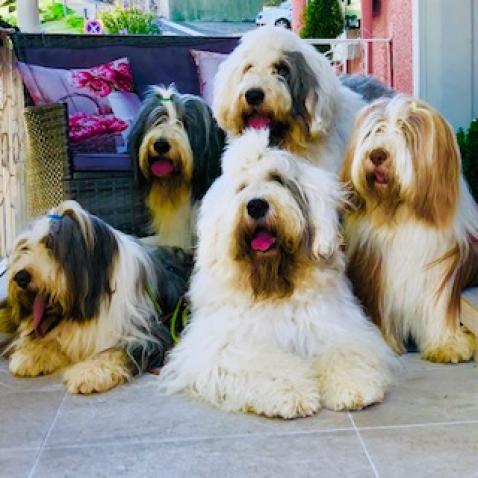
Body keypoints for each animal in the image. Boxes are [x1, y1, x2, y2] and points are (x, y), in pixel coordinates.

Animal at [2, 200, 191, 394]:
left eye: (51, 245)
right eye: (24, 247)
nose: (21, 277)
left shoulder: (148, 332)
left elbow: (118, 350)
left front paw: (89, 372)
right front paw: (32, 354)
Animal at [158, 130, 396, 418]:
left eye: (278, 179)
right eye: (242, 188)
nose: (256, 206)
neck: (273, 285)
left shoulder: (335, 327)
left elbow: (346, 351)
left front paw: (353, 388)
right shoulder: (226, 345)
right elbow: (263, 362)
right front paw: (292, 394)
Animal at [340, 95, 478, 362]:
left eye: (405, 131)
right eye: (375, 130)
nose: (378, 154)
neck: (401, 214)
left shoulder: (441, 271)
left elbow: (439, 308)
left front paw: (447, 345)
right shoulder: (376, 273)